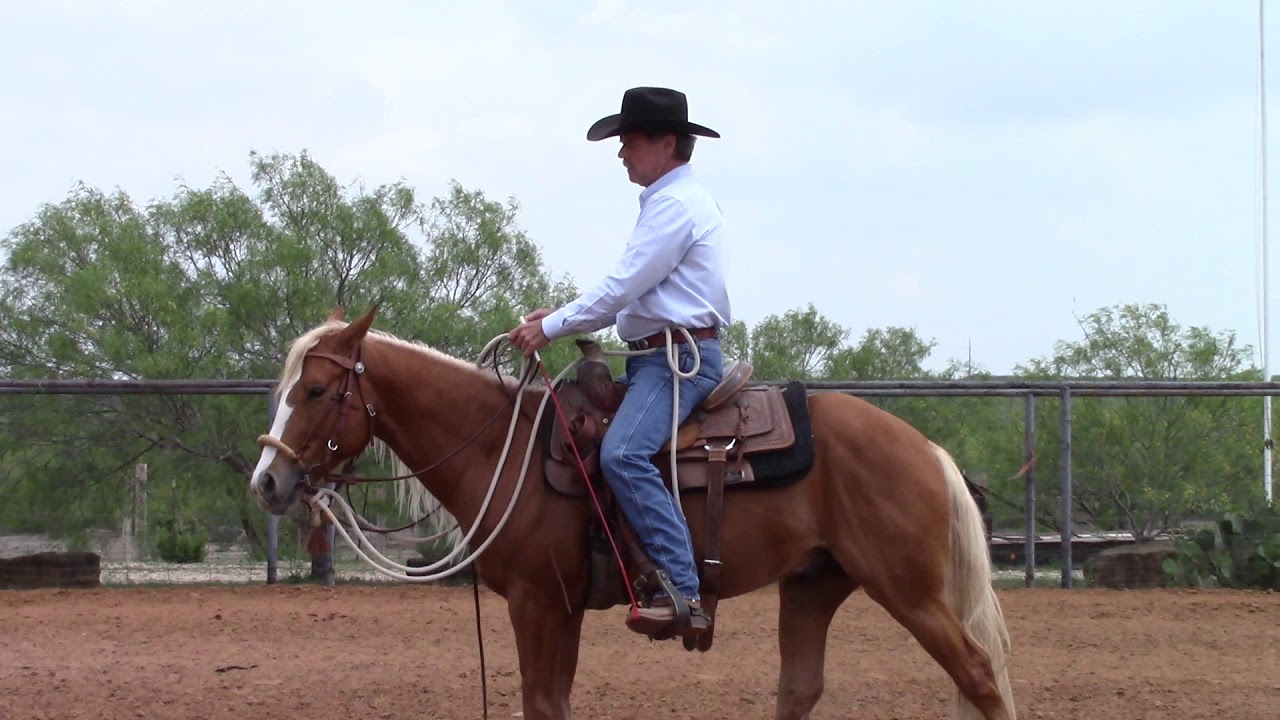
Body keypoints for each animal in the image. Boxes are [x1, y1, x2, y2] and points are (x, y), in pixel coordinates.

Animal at [248, 306, 1017, 720]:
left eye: (315, 390)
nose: (267, 481)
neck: (505, 447)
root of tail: (926, 449)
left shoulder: (537, 604)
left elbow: (541, 705)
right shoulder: (558, 608)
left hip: (910, 591)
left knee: (979, 677)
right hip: (813, 585)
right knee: (800, 689)